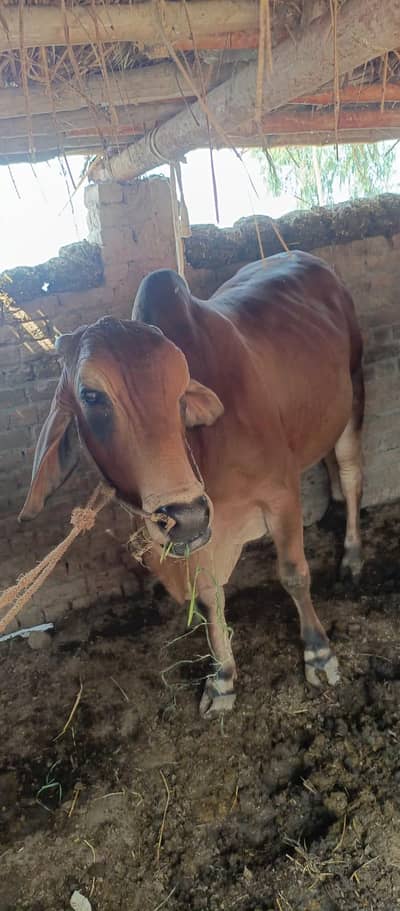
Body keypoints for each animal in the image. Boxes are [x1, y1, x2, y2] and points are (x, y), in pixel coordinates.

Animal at [20, 251, 364, 718]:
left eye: (182, 389)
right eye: (91, 396)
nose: (182, 514)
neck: (202, 449)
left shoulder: (280, 495)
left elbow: (294, 573)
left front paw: (319, 653)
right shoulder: (197, 535)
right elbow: (208, 598)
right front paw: (222, 679)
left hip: (353, 397)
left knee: (350, 475)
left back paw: (352, 557)